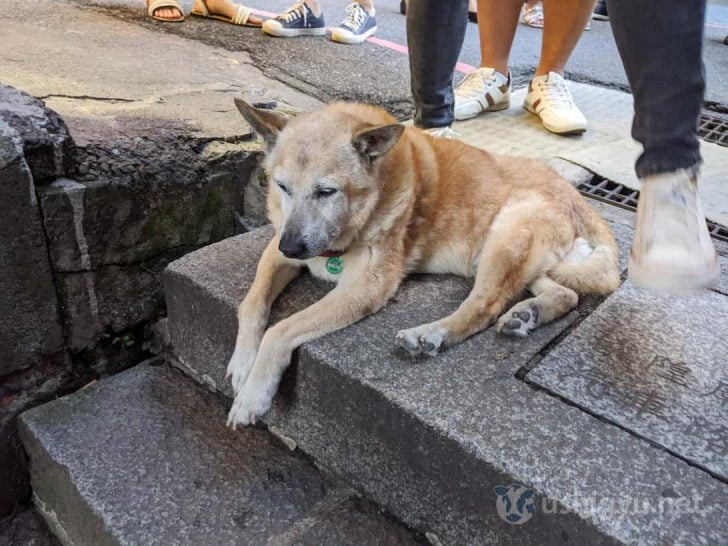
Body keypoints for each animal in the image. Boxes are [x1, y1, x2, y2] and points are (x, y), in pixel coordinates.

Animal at [228, 100, 620, 428]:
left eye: (326, 191)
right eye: (282, 186)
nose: (293, 247)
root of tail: (577, 196)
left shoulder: (365, 288)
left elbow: (281, 330)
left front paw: (253, 394)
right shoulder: (276, 250)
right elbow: (252, 303)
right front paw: (243, 363)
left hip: (504, 239)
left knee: (484, 306)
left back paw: (431, 334)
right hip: (518, 258)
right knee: (565, 294)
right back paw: (529, 314)